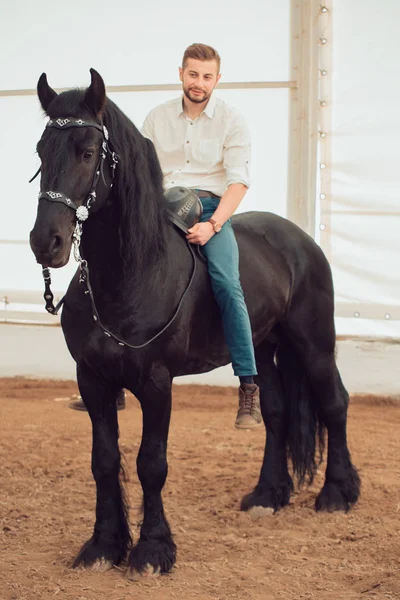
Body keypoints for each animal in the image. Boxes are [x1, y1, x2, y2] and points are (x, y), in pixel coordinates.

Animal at [28, 69, 360, 576]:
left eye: (87, 152)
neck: (133, 275)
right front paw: (103, 545)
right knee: (276, 412)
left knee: (334, 404)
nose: (46, 241)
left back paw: (337, 495)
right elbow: (103, 460)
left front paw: (152, 550)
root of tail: (300, 240)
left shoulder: (156, 384)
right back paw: (267, 495)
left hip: (314, 344)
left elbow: (151, 463)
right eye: (41, 151)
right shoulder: (93, 380)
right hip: (263, 347)